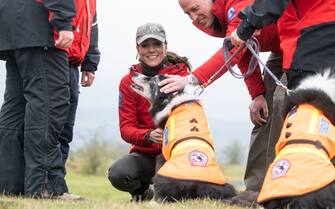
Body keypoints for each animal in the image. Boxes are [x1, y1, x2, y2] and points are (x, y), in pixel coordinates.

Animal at [131, 73, 236, 202]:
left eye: (152, 80)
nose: (134, 72)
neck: (171, 98)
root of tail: (196, 184)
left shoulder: (163, 153)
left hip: (161, 175)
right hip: (226, 187)